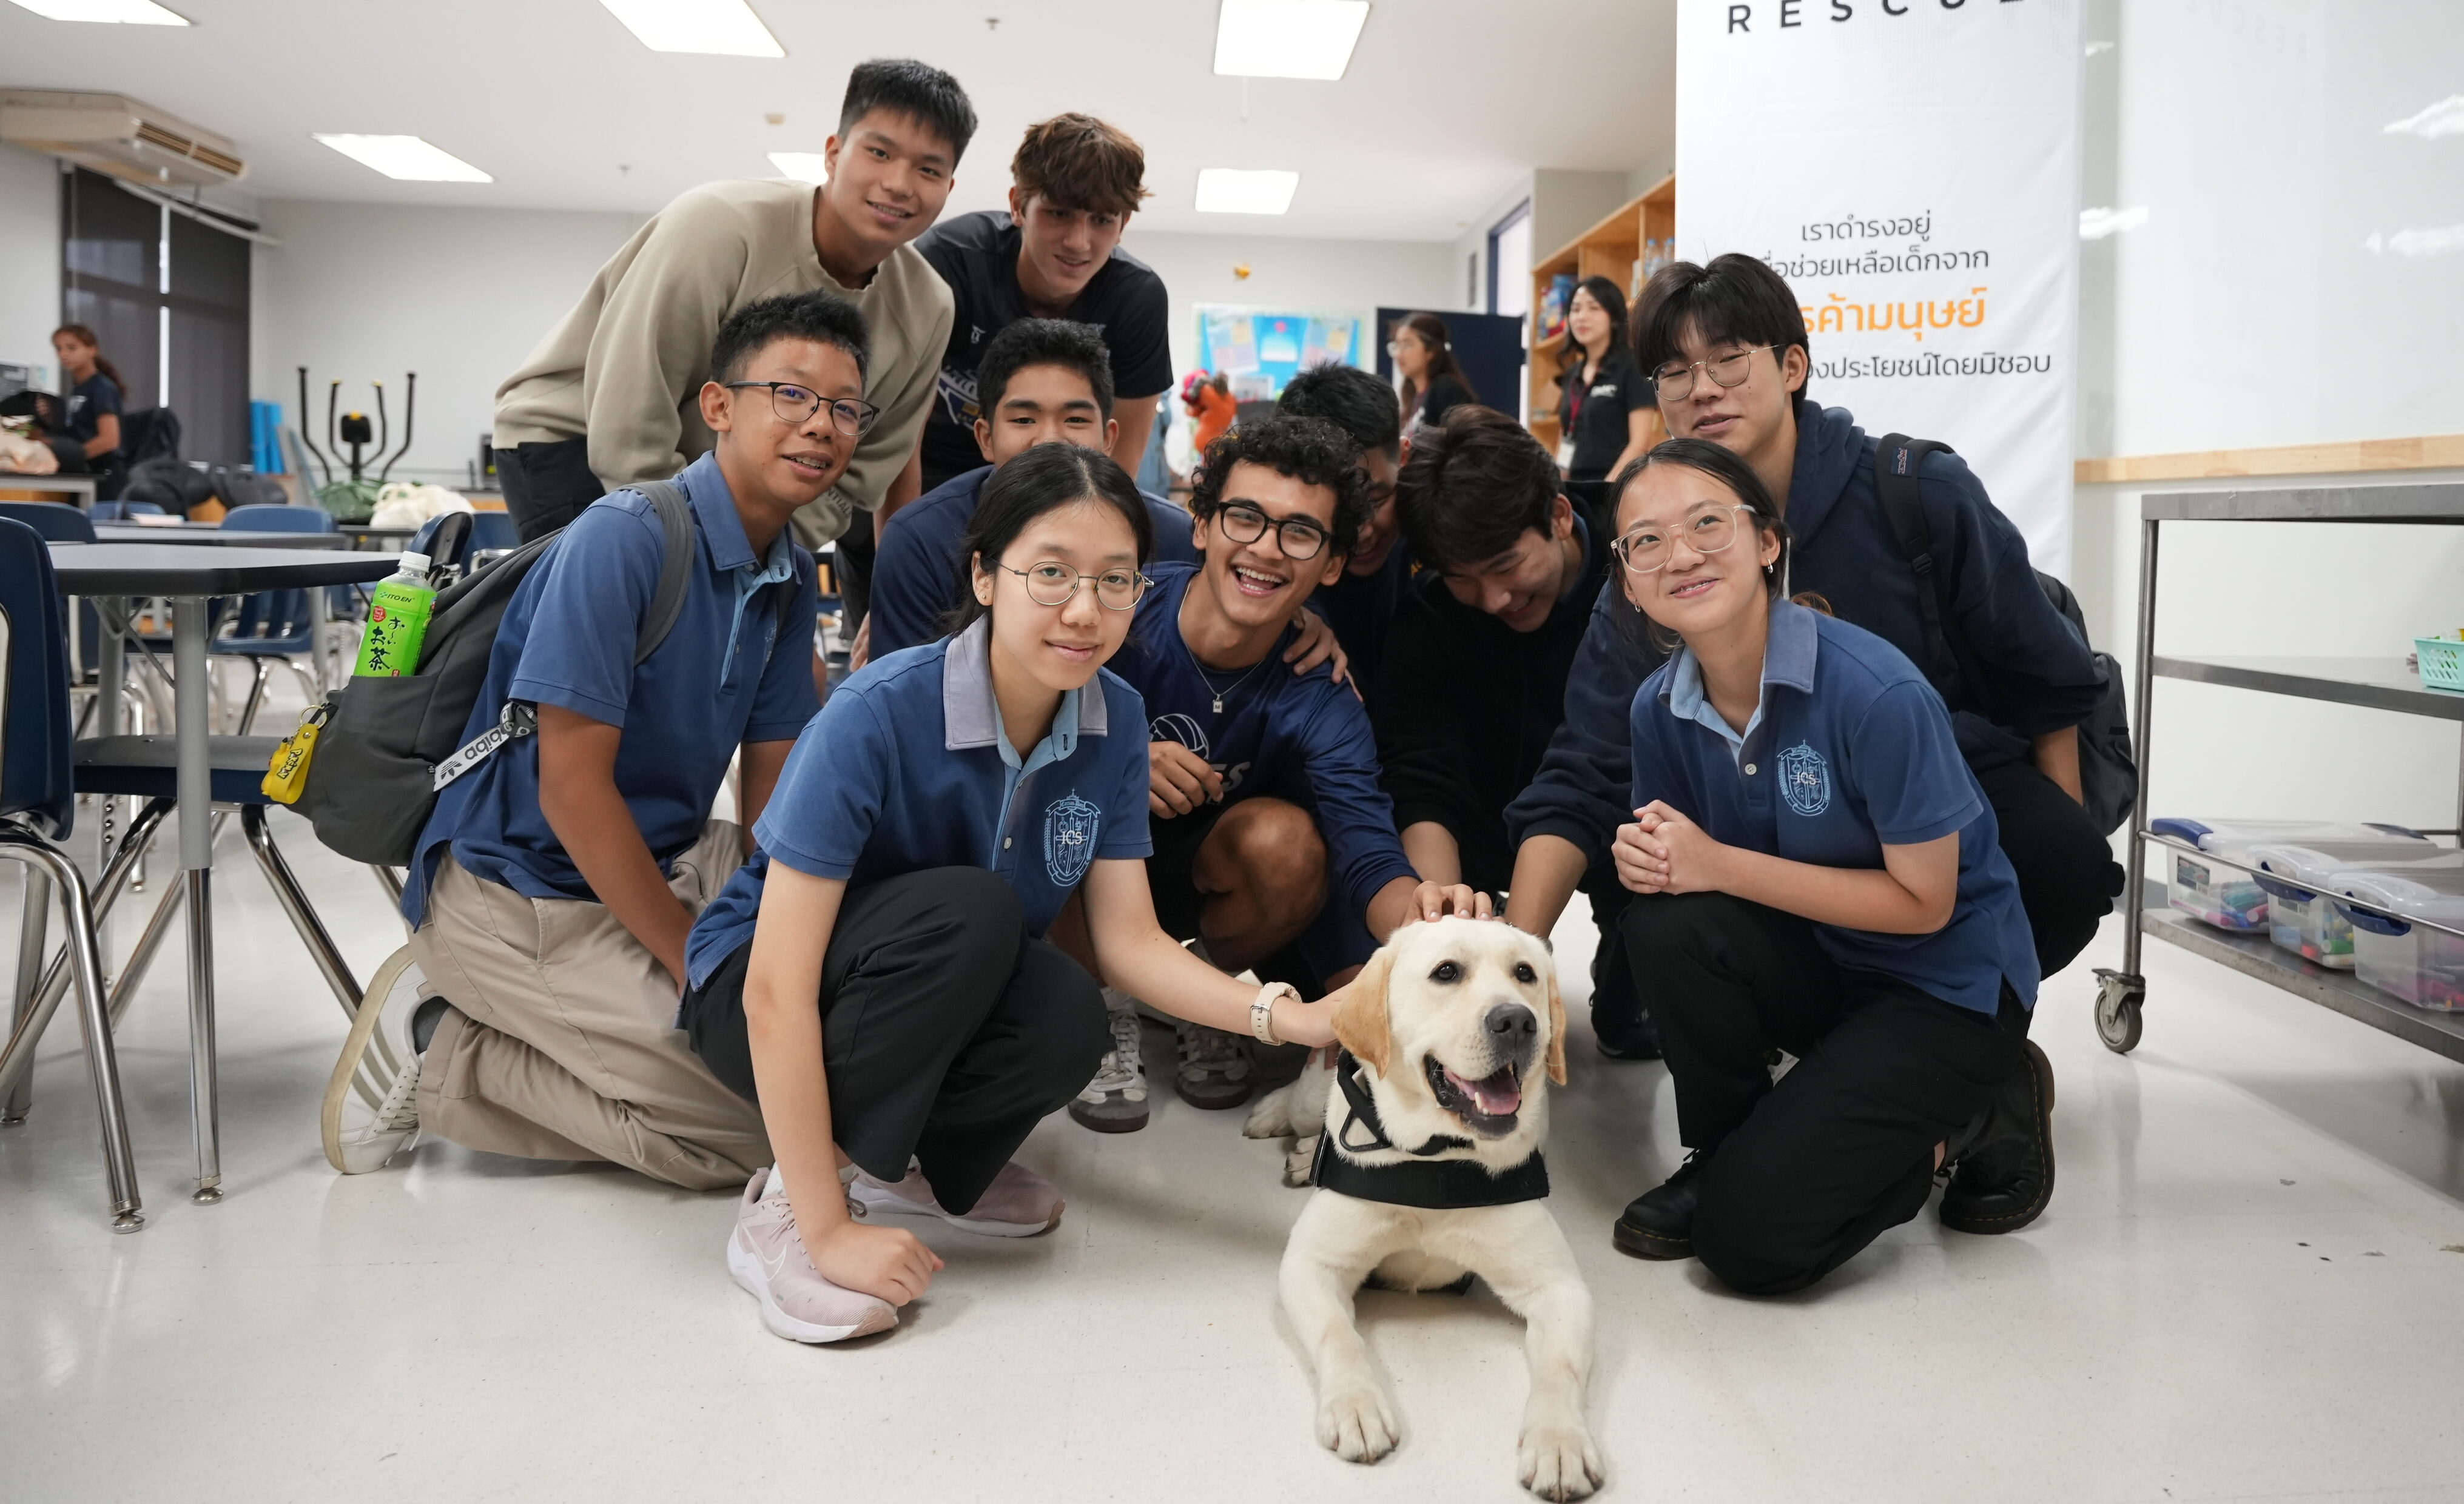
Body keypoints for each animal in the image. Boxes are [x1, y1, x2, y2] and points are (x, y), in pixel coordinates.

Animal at [1271, 925, 1597, 1496]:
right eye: (1447, 972)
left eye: (1526, 974)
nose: (1518, 1021)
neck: (1440, 1154)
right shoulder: (1312, 1264)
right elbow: (1339, 1336)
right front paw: (1356, 1407)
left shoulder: (1558, 1288)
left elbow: (1559, 1369)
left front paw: (1559, 1443)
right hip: (1313, 1095)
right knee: (1298, 1105)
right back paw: (1282, 1132)